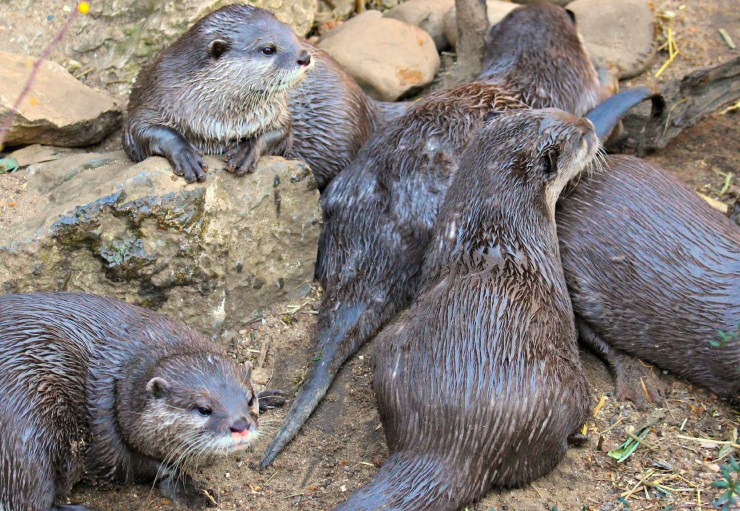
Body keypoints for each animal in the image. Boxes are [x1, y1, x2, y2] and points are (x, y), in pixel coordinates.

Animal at [0, 292, 281, 511]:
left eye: (249, 400)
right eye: (204, 409)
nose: (240, 426)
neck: (118, 382)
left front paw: (269, 397)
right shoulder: (111, 437)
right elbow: (147, 467)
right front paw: (195, 492)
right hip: (27, 435)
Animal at [122, 5, 312, 183]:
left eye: (292, 33)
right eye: (267, 49)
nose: (305, 57)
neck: (222, 122)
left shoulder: (278, 114)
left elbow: (283, 131)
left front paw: (246, 150)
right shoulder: (156, 94)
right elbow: (139, 127)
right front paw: (186, 155)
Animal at [336, 108, 599, 510]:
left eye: (556, 111)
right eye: (580, 138)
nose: (593, 128)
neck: (494, 221)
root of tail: (451, 442)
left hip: (388, 352)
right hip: (561, 387)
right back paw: (578, 435)